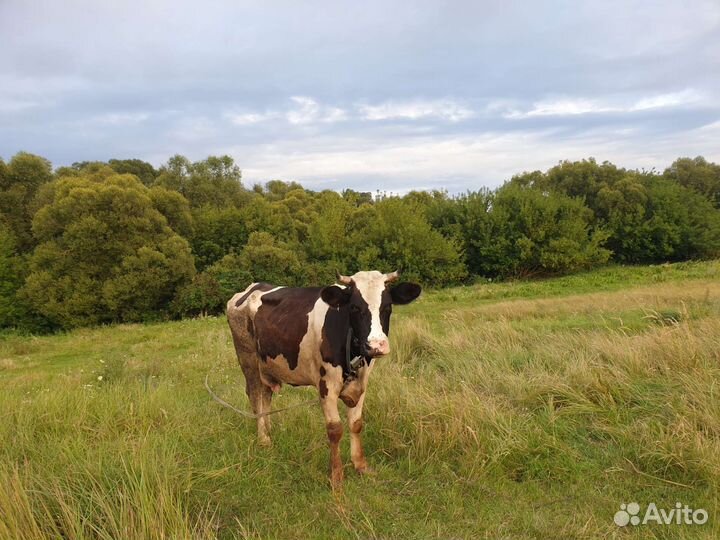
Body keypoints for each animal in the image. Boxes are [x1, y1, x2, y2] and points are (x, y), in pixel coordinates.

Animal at [226, 270, 421, 488]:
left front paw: (361, 465)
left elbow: (356, 423)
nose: (376, 345)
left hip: (267, 366)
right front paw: (336, 476)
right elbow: (335, 429)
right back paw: (263, 438)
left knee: (266, 396)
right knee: (256, 397)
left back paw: (269, 431)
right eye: (354, 307)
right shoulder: (327, 385)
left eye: (387, 306)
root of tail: (250, 288)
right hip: (248, 360)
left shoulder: (362, 383)